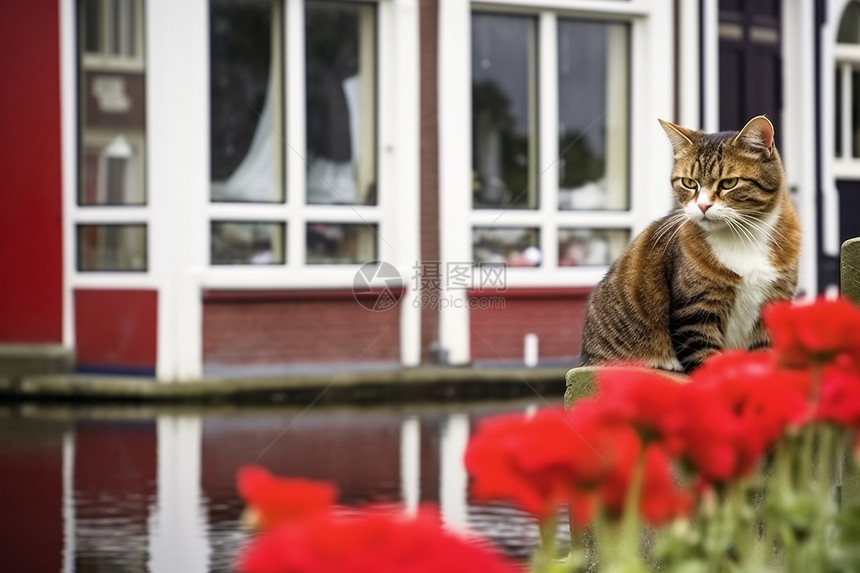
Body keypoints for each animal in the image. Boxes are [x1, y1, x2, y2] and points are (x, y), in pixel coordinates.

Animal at [580, 118, 804, 374]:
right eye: (689, 183)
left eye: (729, 183)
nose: (703, 206)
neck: (742, 235)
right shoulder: (695, 311)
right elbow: (708, 362)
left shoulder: (774, 305)